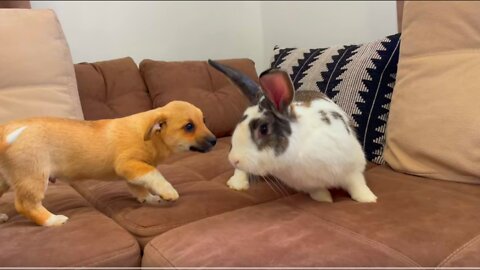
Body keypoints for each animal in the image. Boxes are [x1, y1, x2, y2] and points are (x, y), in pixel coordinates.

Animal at [0, 100, 216, 227]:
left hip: (4, 180)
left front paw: (149, 199)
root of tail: (5, 131)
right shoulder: (129, 164)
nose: (214, 141)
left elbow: (139, 188)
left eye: (204, 121)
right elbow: (155, 174)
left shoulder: (133, 172)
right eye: (189, 126)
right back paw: (53, 220)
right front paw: (167, 191)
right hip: (33, 176)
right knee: (26, 205)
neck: (151, 136)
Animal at [208, 59, 376, 202]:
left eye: (264, 129)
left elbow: (357, 184)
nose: (233, 159)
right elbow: (318, 191)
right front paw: (325, 199)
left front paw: (368, 199)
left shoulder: (354, 167)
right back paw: (237, 183)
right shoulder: (309, 184)